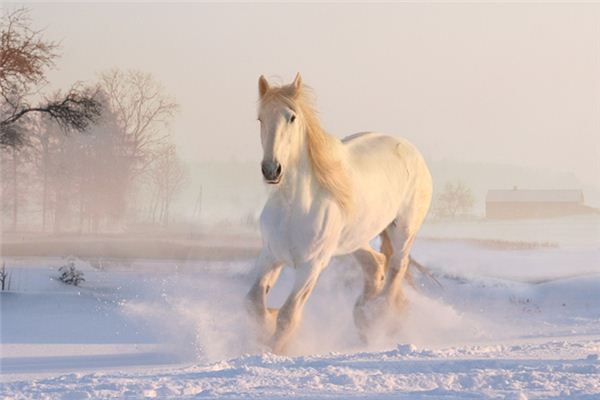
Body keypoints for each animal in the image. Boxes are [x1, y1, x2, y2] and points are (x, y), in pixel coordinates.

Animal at [246, 74, 434, 354]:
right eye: (260, 118)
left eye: (292, 117)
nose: (271, 170)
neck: (294, 207)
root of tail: (411, 150)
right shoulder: (270, 255)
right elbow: (253, 304)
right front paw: (266, 324)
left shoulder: (311, 266)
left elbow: (288, 315)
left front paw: (275, 348)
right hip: (354, 239)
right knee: (376, 264)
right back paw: (364, 317)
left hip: (403, 230)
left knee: (397, 266)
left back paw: (379, 316)